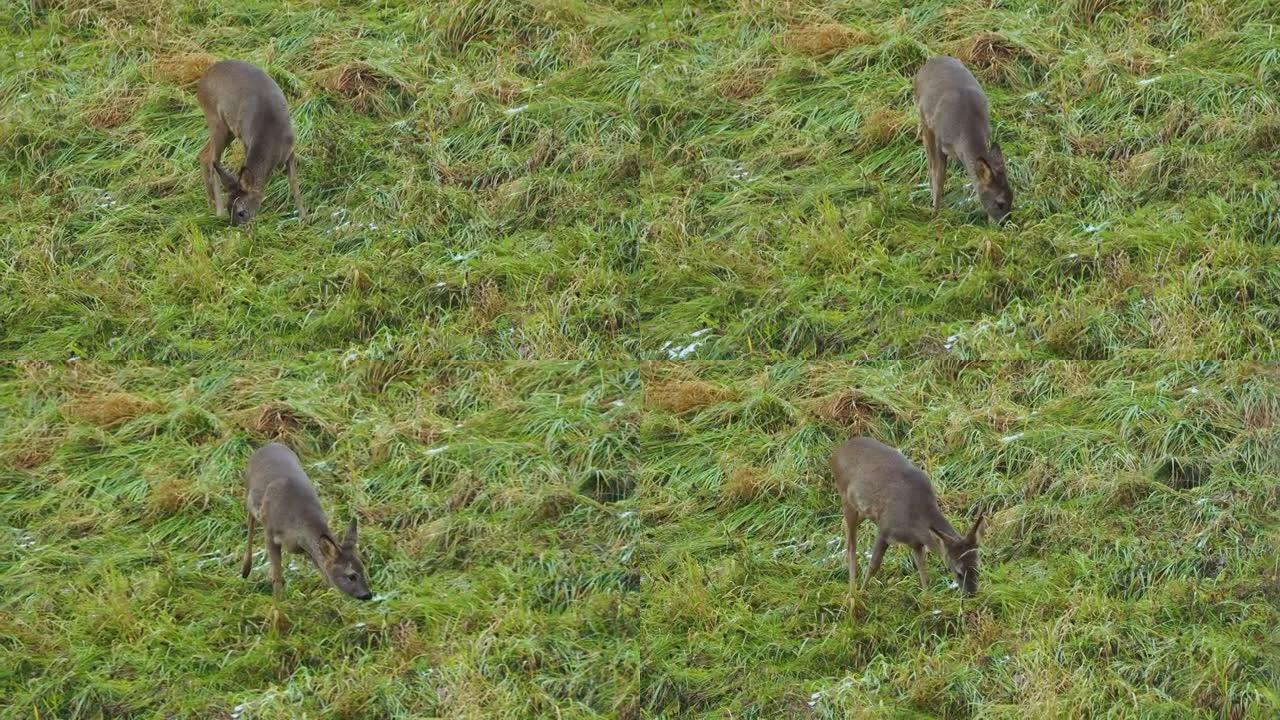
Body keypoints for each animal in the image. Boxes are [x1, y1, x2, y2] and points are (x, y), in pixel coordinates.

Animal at [199, 60, 309, 225]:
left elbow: (294, 181)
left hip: (227, 129)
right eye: (229, 207)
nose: (234, 226)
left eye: (241, 212)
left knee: (204, 154)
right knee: (212, 159)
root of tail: (201, 82)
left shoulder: (290, 149)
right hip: (216, 120)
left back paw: (211, 203)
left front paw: (304, 218)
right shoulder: (247, 142)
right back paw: (218, 211)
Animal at [240, 440, 371, 597]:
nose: (367, 595)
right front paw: (277, 602)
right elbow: (277, 576)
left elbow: (323, 572)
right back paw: (245, 570)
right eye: (351, 575)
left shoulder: (308, 548)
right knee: (250, 519)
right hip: (250, 494)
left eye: (363, 568)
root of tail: (269, 445)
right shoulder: (270, 533)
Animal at [834, 430, 983, 594]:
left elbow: (923, 570)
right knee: (851, 546)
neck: (915, 518)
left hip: (860, 511)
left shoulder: (916, 543)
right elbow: (874, 565)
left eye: (977, 568)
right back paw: (852, 590)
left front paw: (926, 595)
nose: (972, 593)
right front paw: (862, 592)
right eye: (959, 572)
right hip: (846, 500)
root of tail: (837, 452)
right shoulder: (885, 529)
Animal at [916, 55, 1013, 221]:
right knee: (929, 160)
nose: (1005, 223)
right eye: (999, 203)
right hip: (924, 119)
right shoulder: (939, 139)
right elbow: (939, 176)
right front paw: (935, 213)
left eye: (1012, 197)